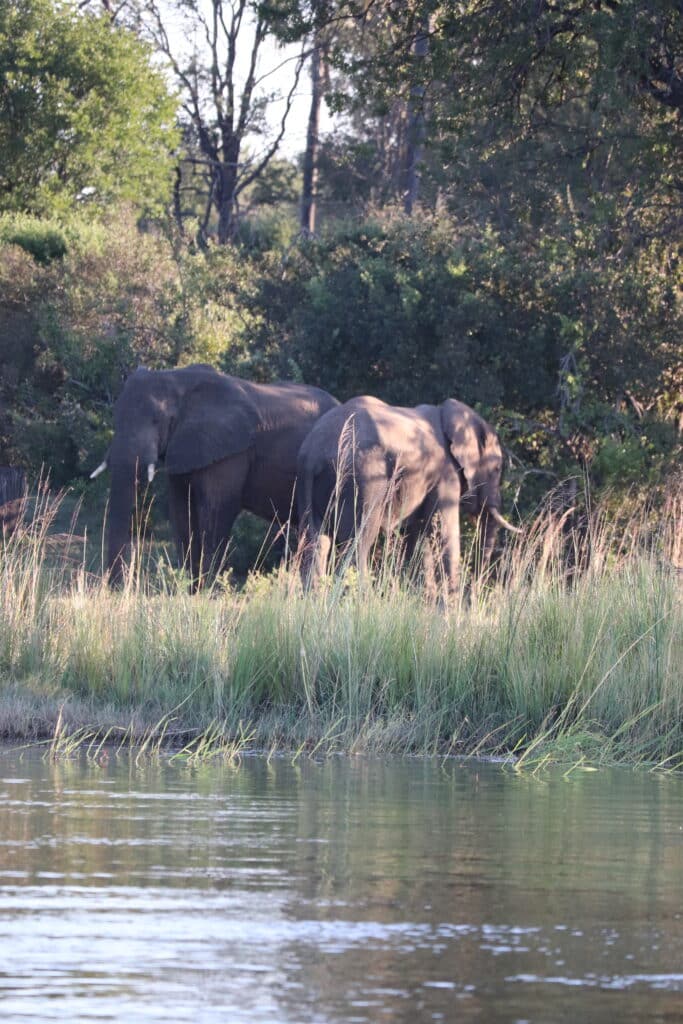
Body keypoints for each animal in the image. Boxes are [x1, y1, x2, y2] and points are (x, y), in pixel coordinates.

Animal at [90, 364, 338, 585]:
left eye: (157, 421)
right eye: (115, 418)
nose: (116, 588)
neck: (177, 379)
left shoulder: (229, 452)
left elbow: (216, 511)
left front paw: (207, 592)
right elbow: (182, 512)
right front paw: (191, 591)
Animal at [296, 395, 522, 592]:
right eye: (497, 469)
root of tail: (313, 454)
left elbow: (420, 538)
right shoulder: (446, 474)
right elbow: (443, 534)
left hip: (308, 482)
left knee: (315, 543)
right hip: (364, 478)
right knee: (358, 543)